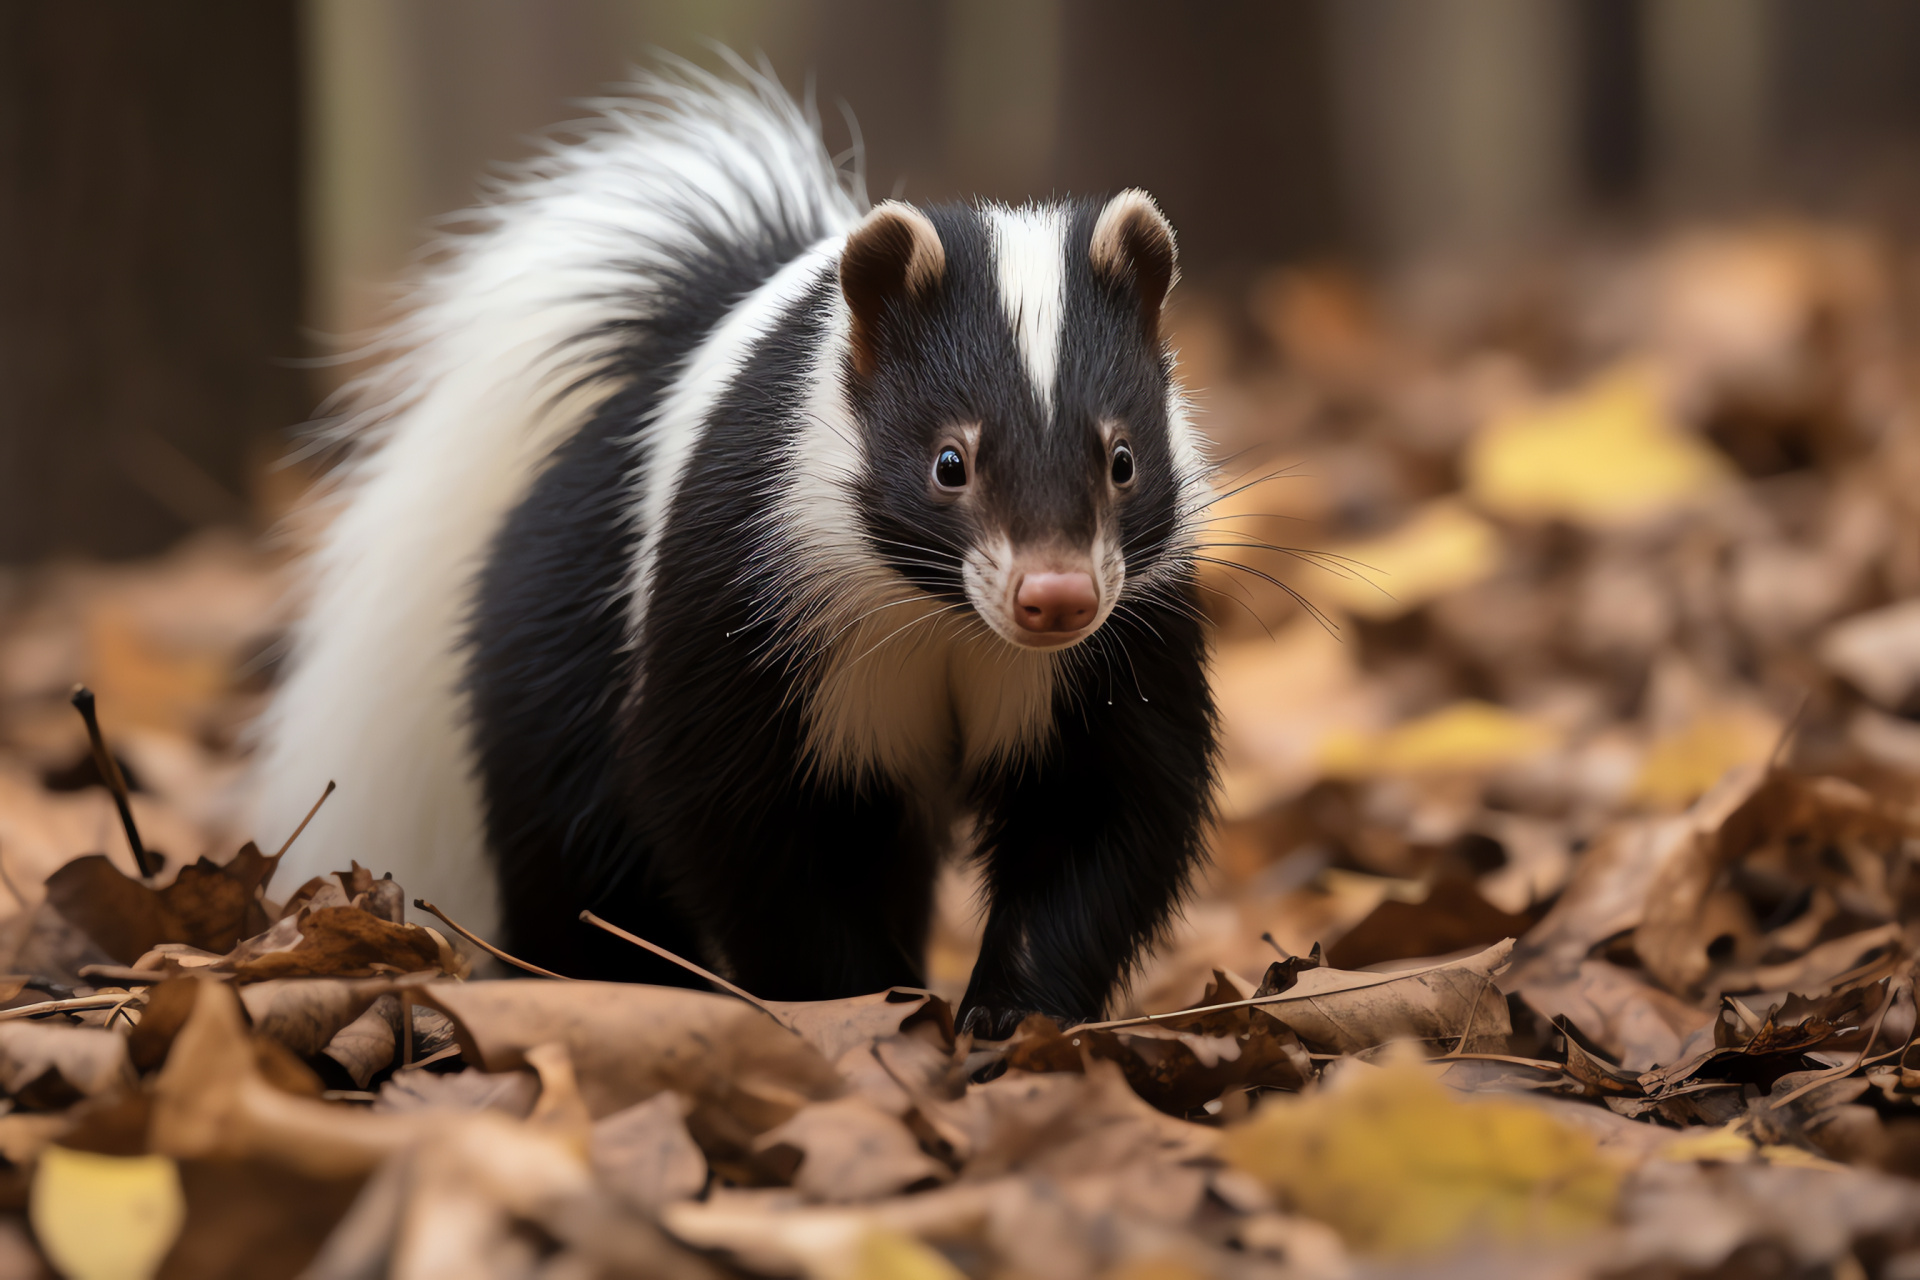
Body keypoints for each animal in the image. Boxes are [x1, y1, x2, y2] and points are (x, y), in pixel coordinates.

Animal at [255, 65, 1213, 1036]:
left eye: (1123, 459)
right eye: (951, 461)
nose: (1055, 595)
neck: (941, 615)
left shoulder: (1124, 637)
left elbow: (1099, 814)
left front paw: (1009, 1017)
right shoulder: (743, 582)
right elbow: (738, 819)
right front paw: (860, 1001)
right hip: (556, 649)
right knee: (574, 853)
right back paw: (600, 980)